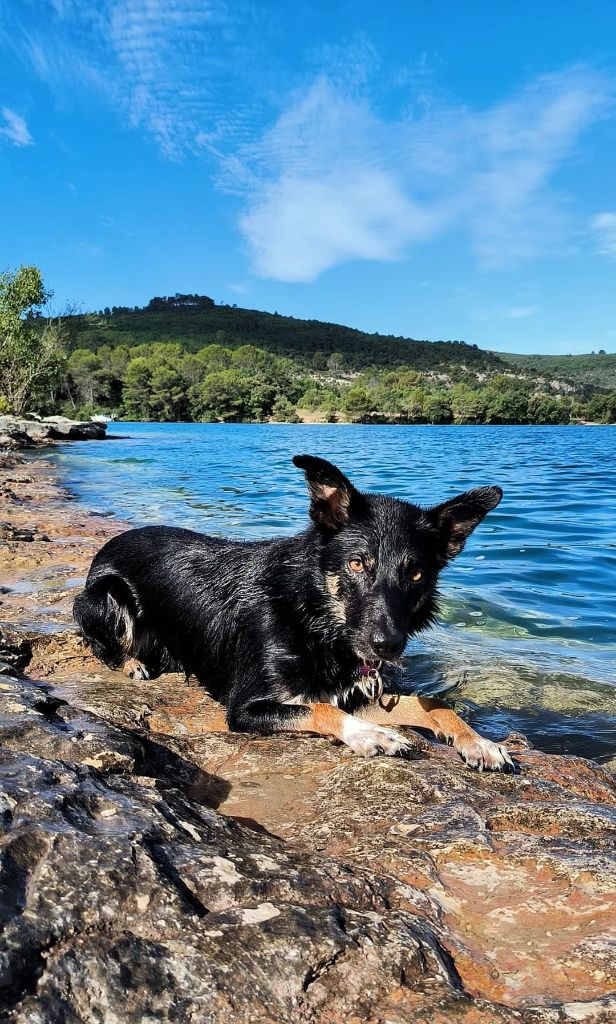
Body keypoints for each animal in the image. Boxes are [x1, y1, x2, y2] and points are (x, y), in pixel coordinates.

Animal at [72, 452, 513, 770]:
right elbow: (319, 708)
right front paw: (370, 734)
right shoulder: (246, 709)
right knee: (99, 644)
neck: (314, 616)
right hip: (106, 597)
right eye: (357, 564)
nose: (387, 646)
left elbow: (433, 704)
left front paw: (479, 741)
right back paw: (132, 663)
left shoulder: (359, 693)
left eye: (417, 574)